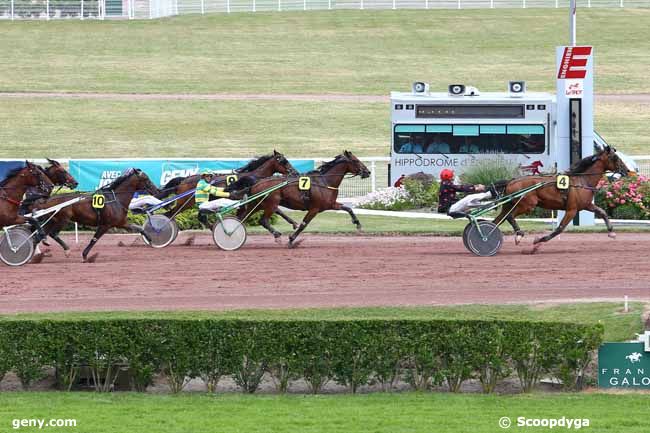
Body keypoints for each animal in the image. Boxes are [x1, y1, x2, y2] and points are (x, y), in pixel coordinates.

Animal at [154, 150, 298, 228]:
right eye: (284, 161)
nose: (295, 172)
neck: (255, 176)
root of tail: (183, 180)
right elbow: (277, 210)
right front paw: (294, 223)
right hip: (185, 203)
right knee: (170, 214)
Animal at [227, 151, 370, 246]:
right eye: (356, 161)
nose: (367, 172)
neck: (324, 182)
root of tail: (257, 182)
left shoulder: (330, 204)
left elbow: (348, 208)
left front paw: (358, 224)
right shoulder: (314, 208)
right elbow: (303, 225)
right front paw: (291, 240)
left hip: (257, 204)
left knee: (241, 218)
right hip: (271, 204)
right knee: (263, 220)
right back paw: (277, 235)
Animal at [492, 147, 628, 251]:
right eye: (615, 157)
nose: (627, 170)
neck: (582, 181)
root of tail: (511, 181)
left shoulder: (586, 205)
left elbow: (602, 212)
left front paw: (611, 232)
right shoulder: (572, 210)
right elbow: (560, 228)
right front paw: (539, 241)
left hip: (509, 205)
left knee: (497, 221)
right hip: (527, 205)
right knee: (510, 217)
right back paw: (519, 235)